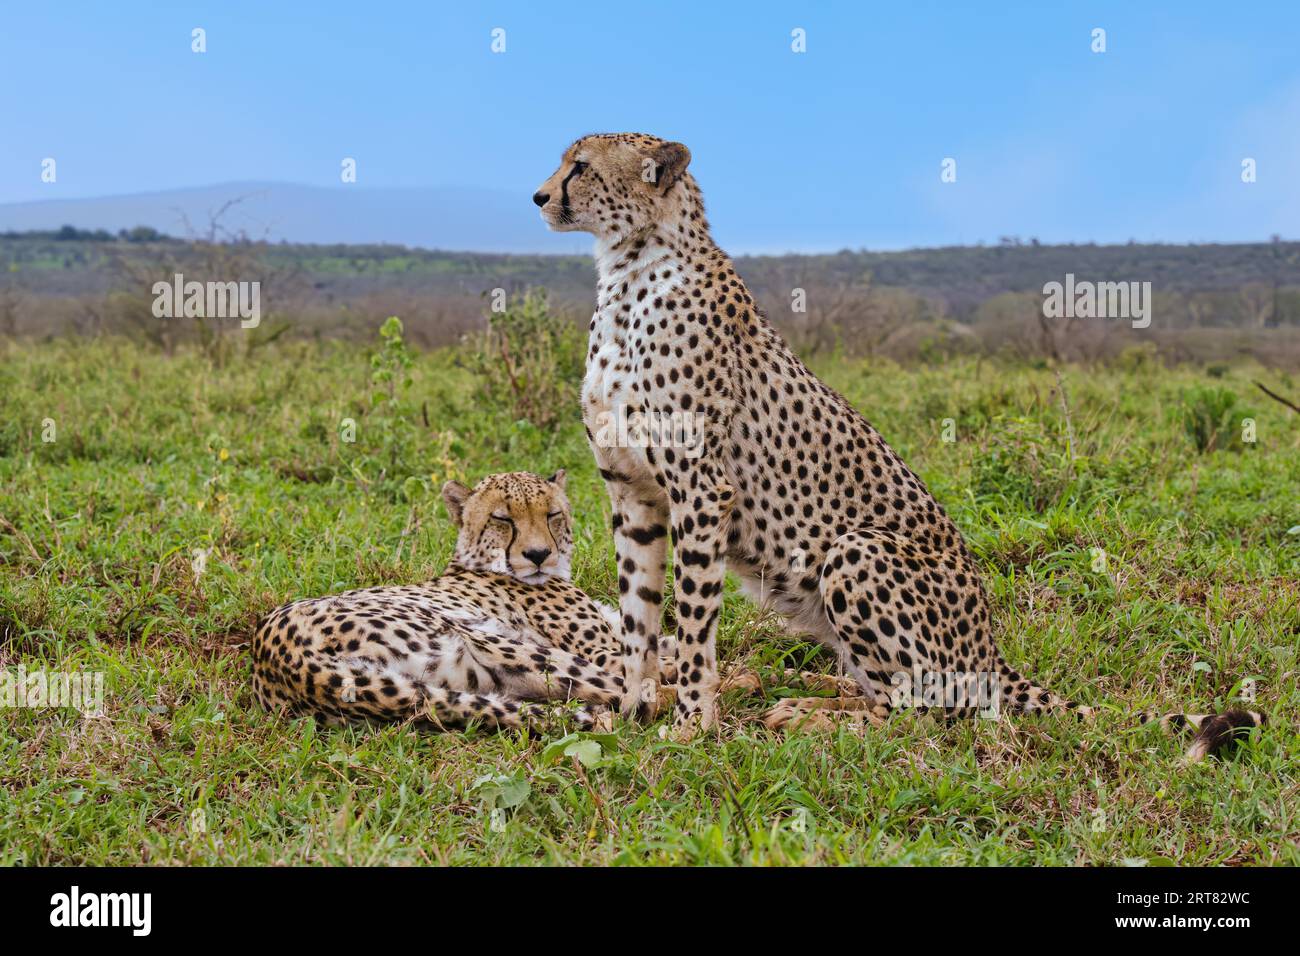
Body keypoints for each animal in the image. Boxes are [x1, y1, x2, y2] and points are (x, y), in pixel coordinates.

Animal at [246, 470, 686, 733]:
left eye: (551, 514)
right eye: (502, 519)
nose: (538, 555)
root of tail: (274, 657)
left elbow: (670, 643)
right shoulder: (603, 649)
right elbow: (662, 660)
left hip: (474, 683)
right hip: (490, 638)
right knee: (636, 693)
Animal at [527, 132, 1258, 764]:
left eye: (581, 166)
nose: (538, 196)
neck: (628, 271)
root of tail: (990, 646)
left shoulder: (701, 491)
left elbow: (693, 617)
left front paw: (690, 726)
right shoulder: (633, 493)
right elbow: (637, 615)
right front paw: (633, 709)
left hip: (858, 550)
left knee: (924, 714)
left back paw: (811, 715)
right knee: (891, 691)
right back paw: (808, 692)